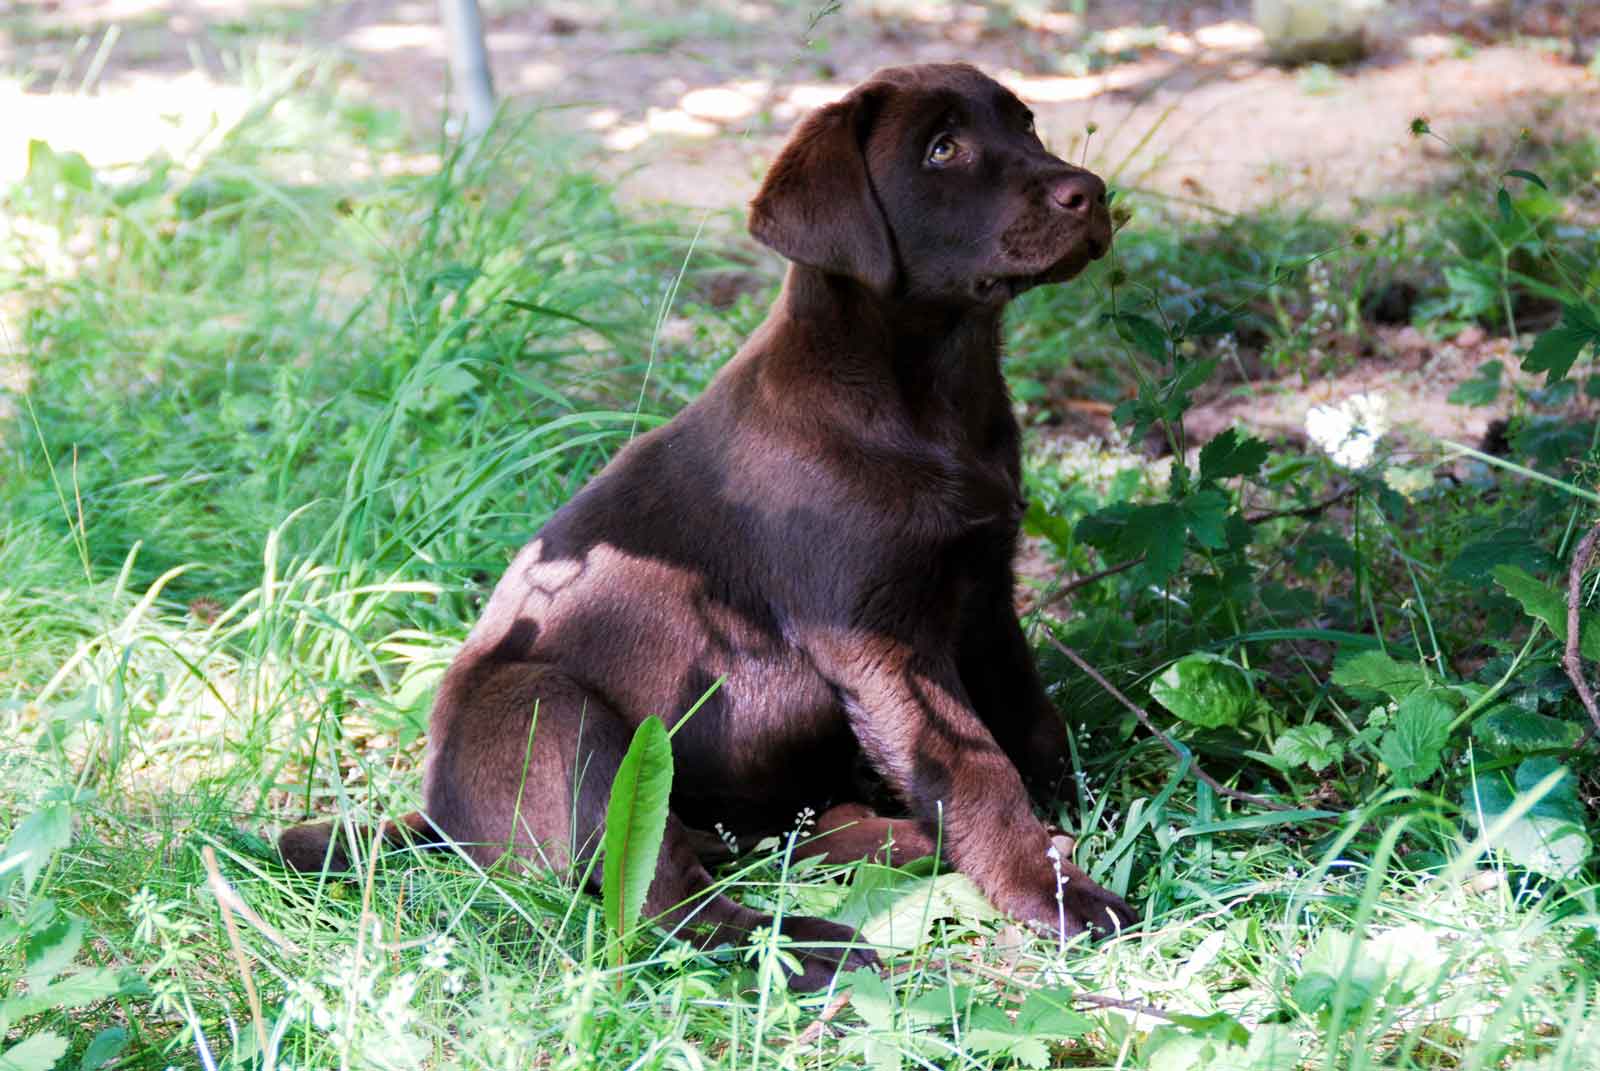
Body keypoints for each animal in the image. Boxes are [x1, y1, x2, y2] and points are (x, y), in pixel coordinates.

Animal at [284, 62, 1139, 992]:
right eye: (941, 149)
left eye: (1025, 124)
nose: (1090, 191)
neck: (923, 393)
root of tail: (441, 823)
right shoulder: (881, 638)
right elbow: (976, 764)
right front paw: (1052, 889)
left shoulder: (985, 591)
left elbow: (1029, 716)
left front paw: (1099, 801)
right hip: (557, 716)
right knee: (657, 903)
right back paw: (807, 943)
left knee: (767, 837)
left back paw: (901, 844)